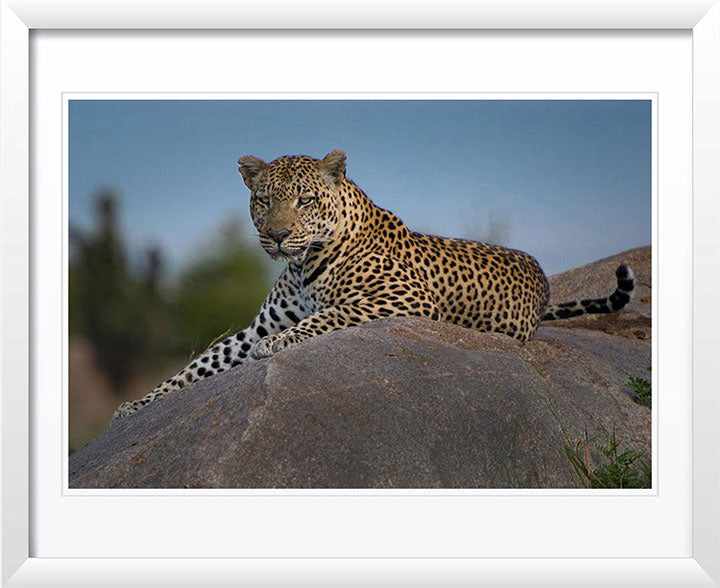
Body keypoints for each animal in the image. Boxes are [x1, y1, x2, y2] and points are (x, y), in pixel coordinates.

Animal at [111, 149, 635, 424]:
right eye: (263, 200)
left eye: (304, 200)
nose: (276, 235)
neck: (303, 263)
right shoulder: (253, 327)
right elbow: (200, 363)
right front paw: (138, 405)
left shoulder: (402, 298)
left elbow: (331, 314)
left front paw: (282, 343)